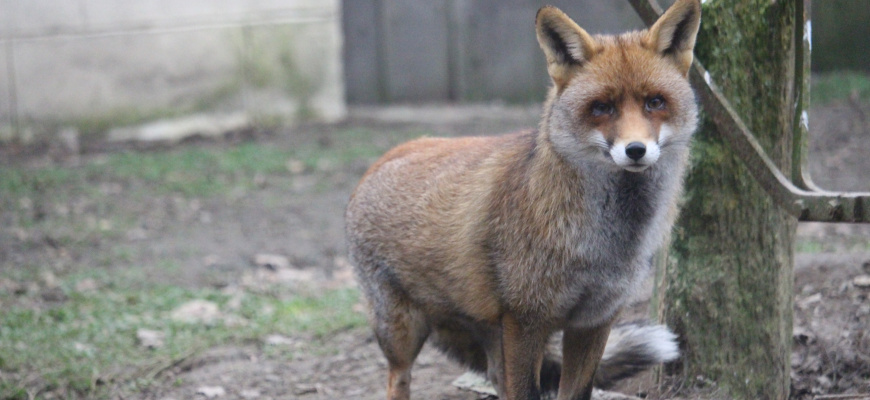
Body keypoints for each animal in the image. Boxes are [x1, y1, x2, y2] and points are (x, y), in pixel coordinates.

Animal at [346, 1, 700, 398]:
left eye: (655, 102)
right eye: (601, 108)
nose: (636, 150)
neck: (602, 246)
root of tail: (386, 156)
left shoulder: (594, 321)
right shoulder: (526, 321)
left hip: (488, 332)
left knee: (495, 379)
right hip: (401, 330)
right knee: (398, 377)